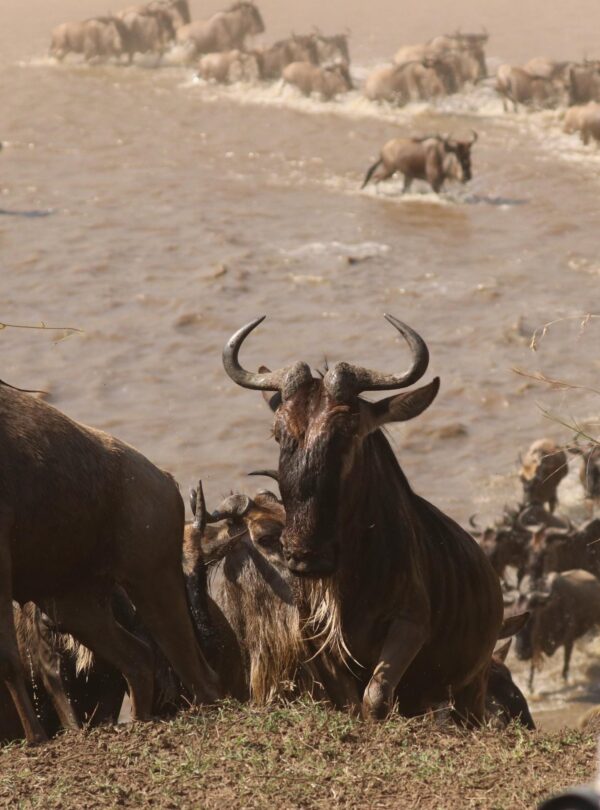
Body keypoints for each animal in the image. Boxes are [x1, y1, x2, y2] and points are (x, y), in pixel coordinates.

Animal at [0, 382, 220, 744]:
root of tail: (164, 479)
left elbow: (8, 659)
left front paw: (36, 739)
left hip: (153, 583)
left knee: (200, 676)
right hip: (76, 608)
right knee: (138, 658)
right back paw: (141, 720)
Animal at [221, 315, 504, 724]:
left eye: (347, 432)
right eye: (278, 433)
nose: (304, 555)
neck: (351, 578)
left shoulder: (409, 625)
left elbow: (376, 696)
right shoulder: (319, 643)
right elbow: (353, 703)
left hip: (472, 684)